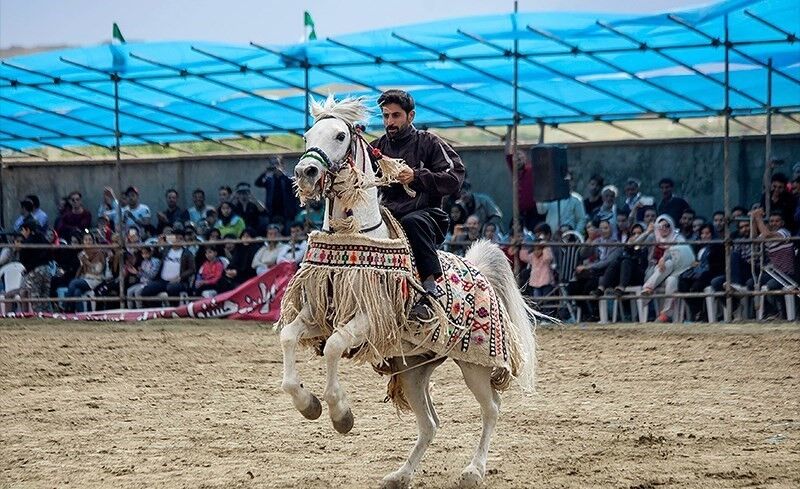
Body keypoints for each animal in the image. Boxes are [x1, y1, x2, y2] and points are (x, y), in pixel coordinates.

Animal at [282, 96, 536, 488]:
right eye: (308, 134)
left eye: (340, 135)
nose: (306, 172)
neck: (355, 234)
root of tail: (479, 270)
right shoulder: (318, 314)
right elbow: (288, 339)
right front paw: (308, 404)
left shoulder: (370, 318)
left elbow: (336, 347)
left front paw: (340, 413)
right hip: (414, 371)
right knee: (430, 424)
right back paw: (400, 474)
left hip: (474, 364)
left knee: (491, 409)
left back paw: (473, 470)